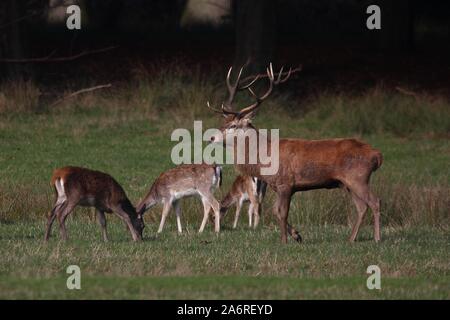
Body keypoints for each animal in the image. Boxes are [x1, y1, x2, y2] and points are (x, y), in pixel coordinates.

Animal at [207, 63, 384, 244]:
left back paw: (377, 238)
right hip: (347, 183)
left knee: (375, 202)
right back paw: (351, 238)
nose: (211, 137)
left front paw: (284, 241)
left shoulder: (286, 183)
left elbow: (282, 212)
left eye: (233, 125)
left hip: (358, 178)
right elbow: (274, 211)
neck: (265, 156)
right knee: (362, 207)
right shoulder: (278, 186)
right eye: (223, 122)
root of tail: (376, 155)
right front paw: (297, 236)